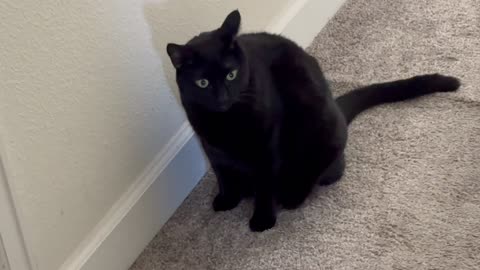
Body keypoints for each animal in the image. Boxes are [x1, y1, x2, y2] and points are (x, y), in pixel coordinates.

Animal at [166, 10, 462, 230]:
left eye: (231, 74)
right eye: (203, 83)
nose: (222, 97)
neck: (227, 122)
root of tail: (337, 109)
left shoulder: (266, 150)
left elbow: (264, 186)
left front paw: (262, 219)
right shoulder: (210, 146)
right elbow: (222, 174)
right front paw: (227, 199)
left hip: (319, 131)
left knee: (323, 170)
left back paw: (292, 195)